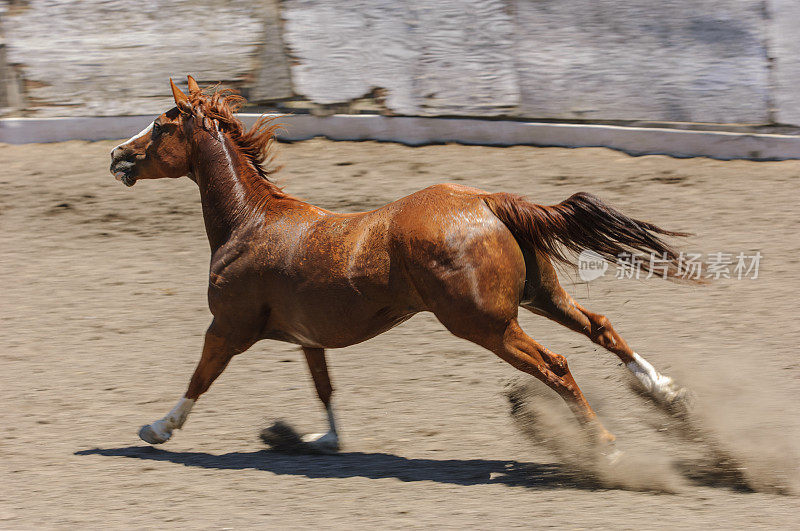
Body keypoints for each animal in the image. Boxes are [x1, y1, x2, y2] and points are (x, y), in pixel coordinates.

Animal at [109, 78, 692, 454]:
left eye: (160, 125)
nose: (117, 155)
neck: (250, 223)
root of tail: (485, 201)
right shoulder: (308, 337)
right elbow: (324, 388)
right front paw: (322, 438)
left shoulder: (227, 327)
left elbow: (200, 377)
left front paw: (157, 429)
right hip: (538, 297)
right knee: (600, 327)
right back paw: (666, 392)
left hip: (486, 324)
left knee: (556, 366)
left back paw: (605, 444)